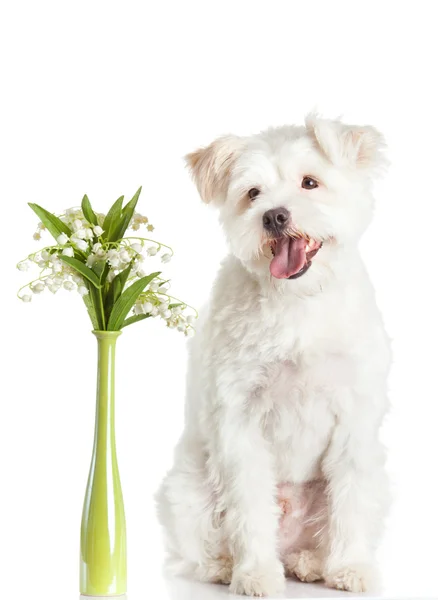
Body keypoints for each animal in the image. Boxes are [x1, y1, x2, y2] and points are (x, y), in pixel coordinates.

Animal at [157, 113, 390, 596]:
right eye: (252, 193)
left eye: (310, 182)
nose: (274, 215)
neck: (297, 301)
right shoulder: (238, 419)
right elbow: (247, 507)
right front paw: (255, 573)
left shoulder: (354, 417)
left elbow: (351, 500)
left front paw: (352, 566)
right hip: (186, 490)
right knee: (202, 547)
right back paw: (227, 566)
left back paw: (312, 562)